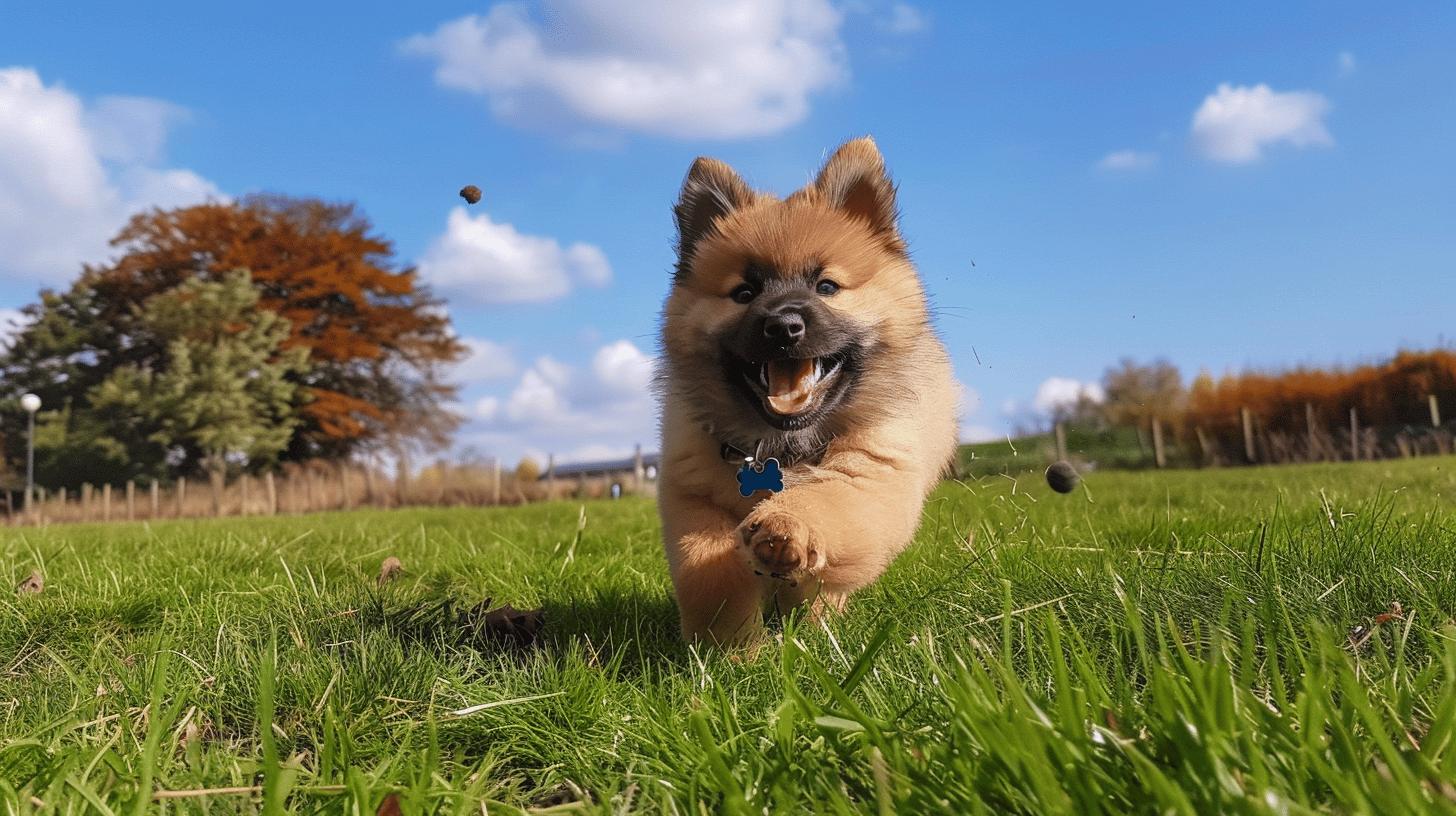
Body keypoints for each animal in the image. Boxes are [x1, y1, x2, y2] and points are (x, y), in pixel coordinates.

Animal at [658, 138, 955, 644]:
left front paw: (784, 525)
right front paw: (729, 647)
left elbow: (824, 501)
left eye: (826, 287)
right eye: (744, 293)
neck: (780, 451)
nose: (783, 326)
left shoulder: (871, 477)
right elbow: (707, 567)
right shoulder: (690, 494)